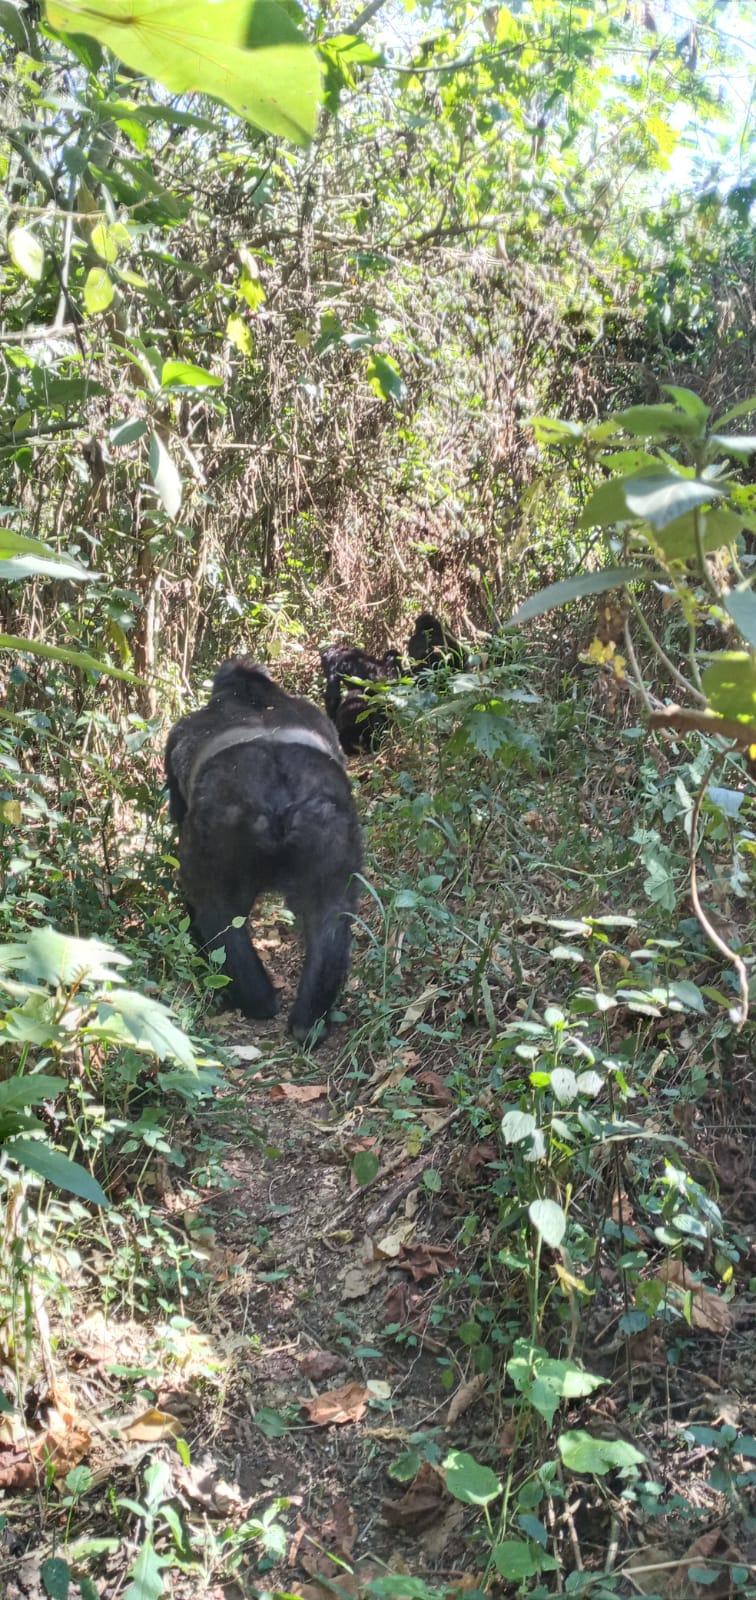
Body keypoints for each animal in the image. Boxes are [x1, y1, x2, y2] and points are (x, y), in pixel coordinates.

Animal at [164, 656, 363, 1043]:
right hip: (327, 821)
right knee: (329, 917)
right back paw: (308, 1021)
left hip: (219, 829)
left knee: (217, 914)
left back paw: (256, 1002)